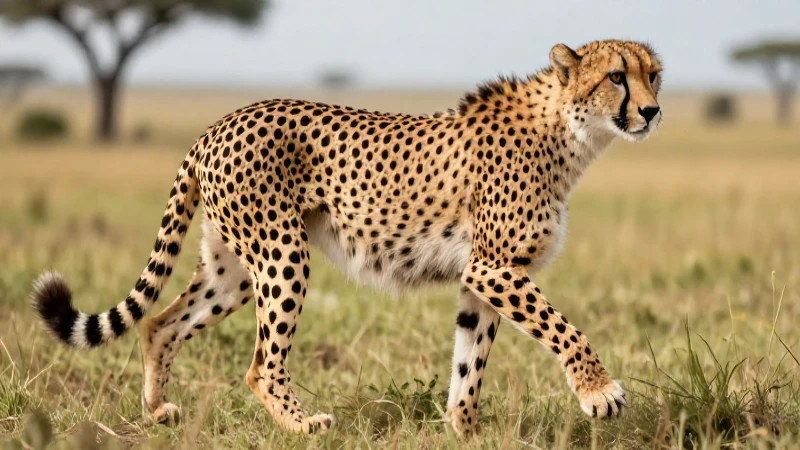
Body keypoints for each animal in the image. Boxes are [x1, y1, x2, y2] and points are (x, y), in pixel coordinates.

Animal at [31, 39, 662, 438]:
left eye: (653, 74)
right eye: (616, 76)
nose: (654, 111)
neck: (572, 131)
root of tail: (216, 125)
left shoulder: (481, 277)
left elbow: (469, 360)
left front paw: (465, 430)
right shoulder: (494, 268)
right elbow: (564, 329)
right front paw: (599, 393)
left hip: (232, 268)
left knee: (161, 323)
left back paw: (158, 410)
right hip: (283, 253)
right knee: (261, 364)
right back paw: (302, 424)